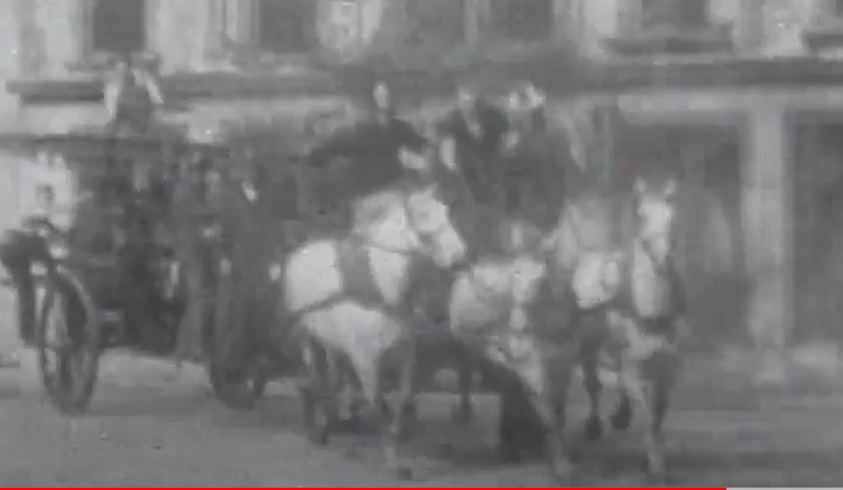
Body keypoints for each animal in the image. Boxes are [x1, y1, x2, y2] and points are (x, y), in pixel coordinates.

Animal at [284, 183, 468, 478]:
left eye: (446, 211)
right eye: (423, 215)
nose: (459, 258)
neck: (382, 290)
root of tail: (301, 251)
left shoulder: (404, 355)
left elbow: (403, 396)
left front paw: (396, 435)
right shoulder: (366, 360)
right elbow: (378, 402)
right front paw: (392, 459)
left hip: (332, 343)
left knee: (333, 377)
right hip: (307, 337)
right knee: (314, 376)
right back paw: (320, 423)